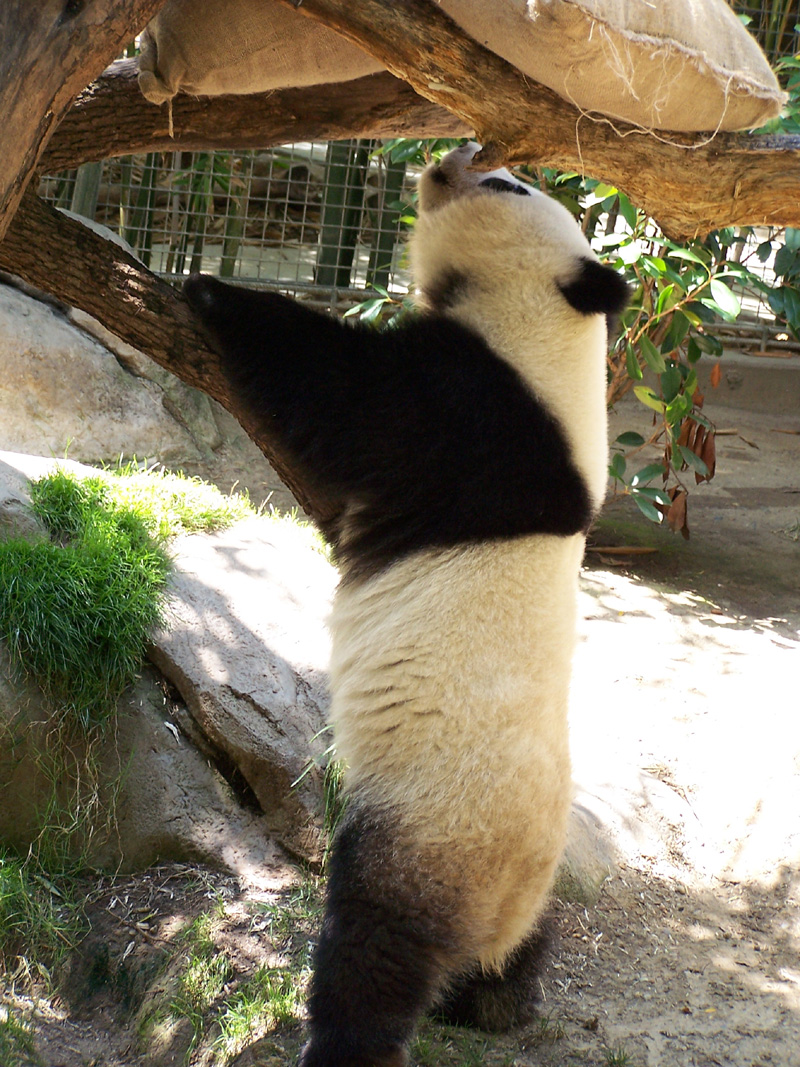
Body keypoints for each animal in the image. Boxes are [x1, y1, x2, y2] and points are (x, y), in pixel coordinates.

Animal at [183, 141, 628, 1067]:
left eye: (508, 184)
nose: (456, 154)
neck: (556, 330)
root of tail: (498, 904)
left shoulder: (481, 413)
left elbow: (347, 398)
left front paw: (207, 289)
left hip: (426, 825)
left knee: (374, 948)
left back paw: (351, 1037)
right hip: (523, 881)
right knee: (519, 951)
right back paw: (498, 1002)